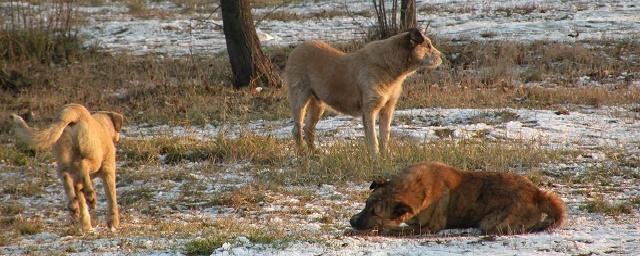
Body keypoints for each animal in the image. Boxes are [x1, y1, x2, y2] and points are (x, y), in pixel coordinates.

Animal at [10, 104, 124, 232]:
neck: (103, 125)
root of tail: (75, 112)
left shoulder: (78, 182)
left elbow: (82, 203)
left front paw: (86, 225)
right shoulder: (108, 171)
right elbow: (112, 199)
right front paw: (113, 223)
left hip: (63, 161)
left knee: (66, 177)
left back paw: (74, 205)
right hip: (94, 158)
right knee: (83, 165)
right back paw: (90, 195)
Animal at [284, 27, 440, 156]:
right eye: (428, 46)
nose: (442, 56)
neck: (388, 67)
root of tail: (296, 49)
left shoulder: (387, 109)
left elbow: (385, 135)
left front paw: (386, 157)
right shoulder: (369, 109)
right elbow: (373, 139)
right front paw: (375, 159)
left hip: (318, 104)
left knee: (308, 129)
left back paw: (314, 154)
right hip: (299, 99)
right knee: (297, 129)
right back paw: (302, 154)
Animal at [350, 162, 564, 236]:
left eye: (374, 212)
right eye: (366, 204)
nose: (351, 221)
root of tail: (537, 193)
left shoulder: (429, 227)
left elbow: (391, 229)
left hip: (491, 221)